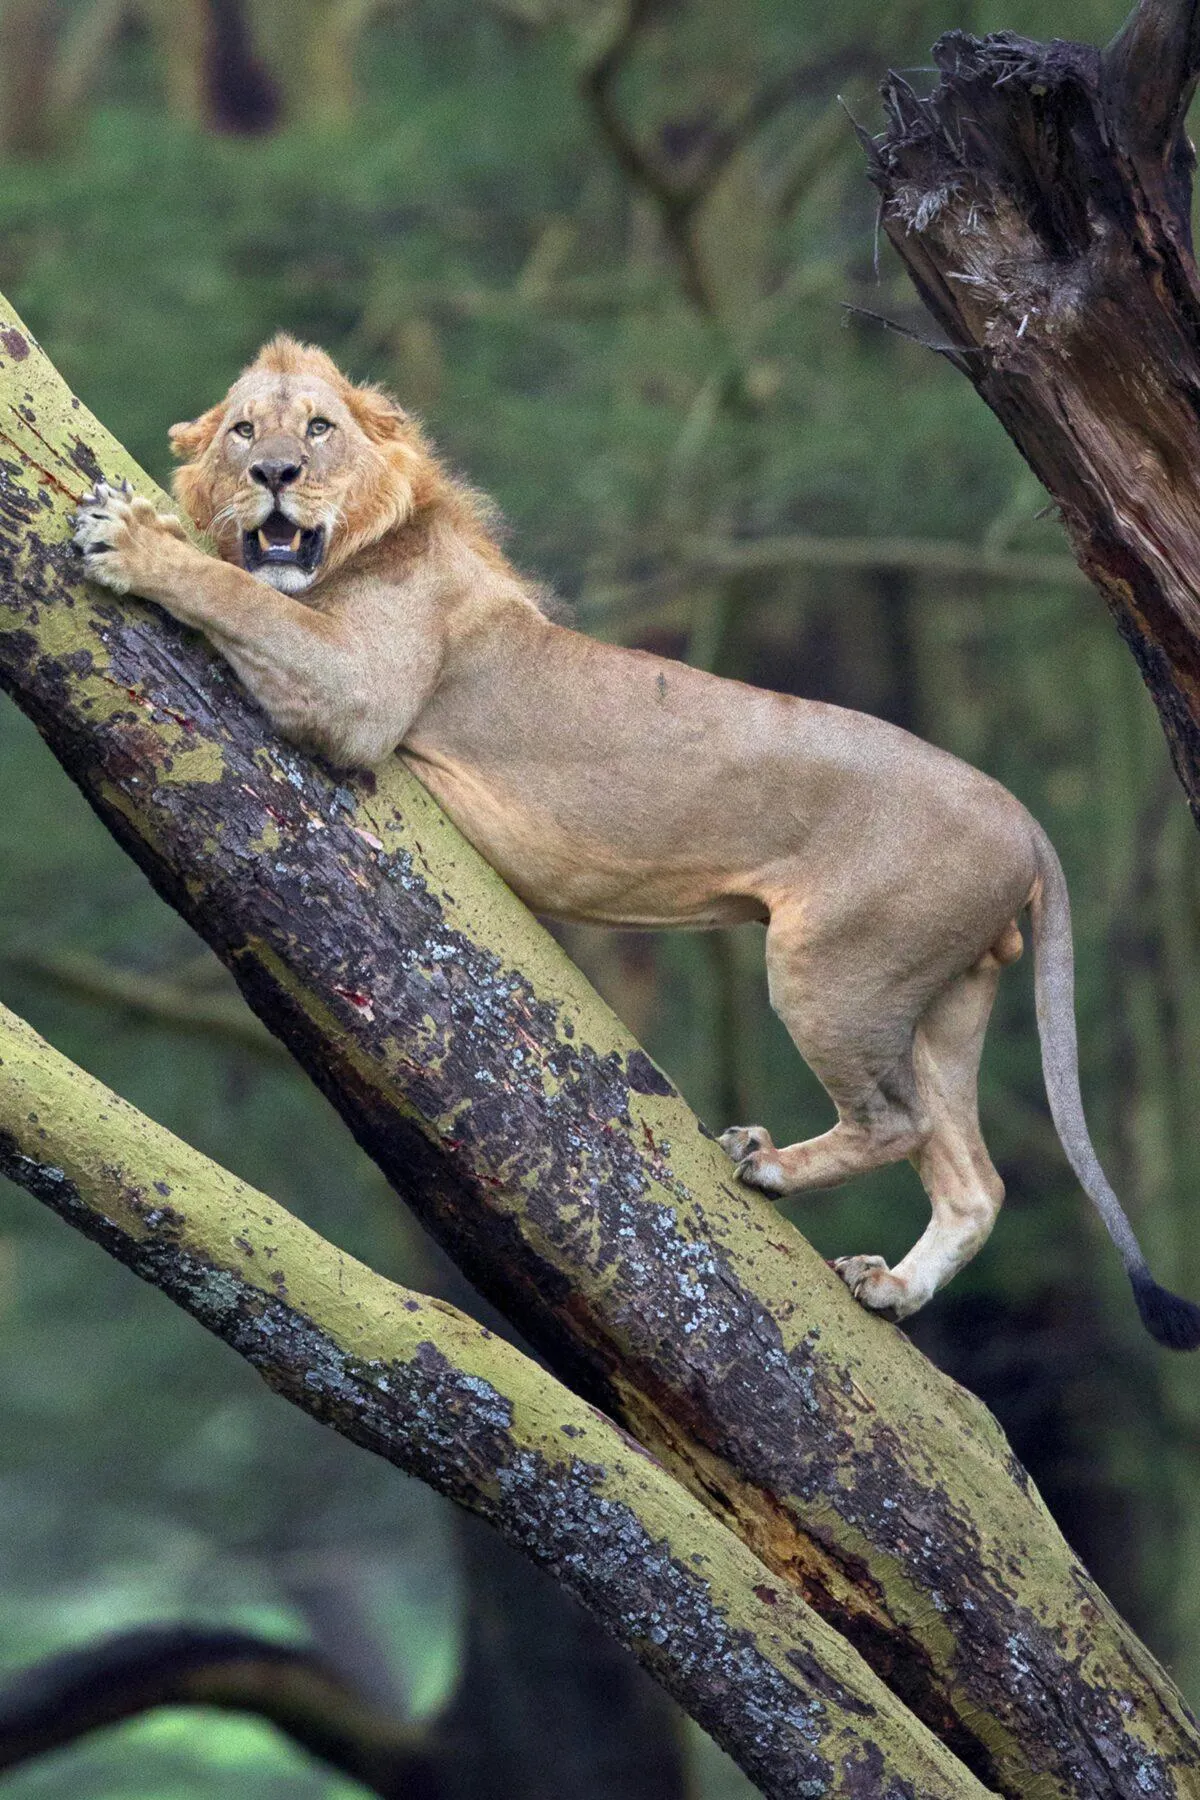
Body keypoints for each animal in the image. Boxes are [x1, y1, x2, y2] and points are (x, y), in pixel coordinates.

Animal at [70, 335, 1200, 1349]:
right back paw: (892, 1289)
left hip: (837, 964)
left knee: (900, 1122)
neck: (373, 545)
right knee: (976, 1178)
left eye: (318, 429)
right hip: (949, 995)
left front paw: (132, 540)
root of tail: (1024, 819)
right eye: (242, 431)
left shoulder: (359, 697)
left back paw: (768, 1164)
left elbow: (238, 591)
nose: (274, 477)